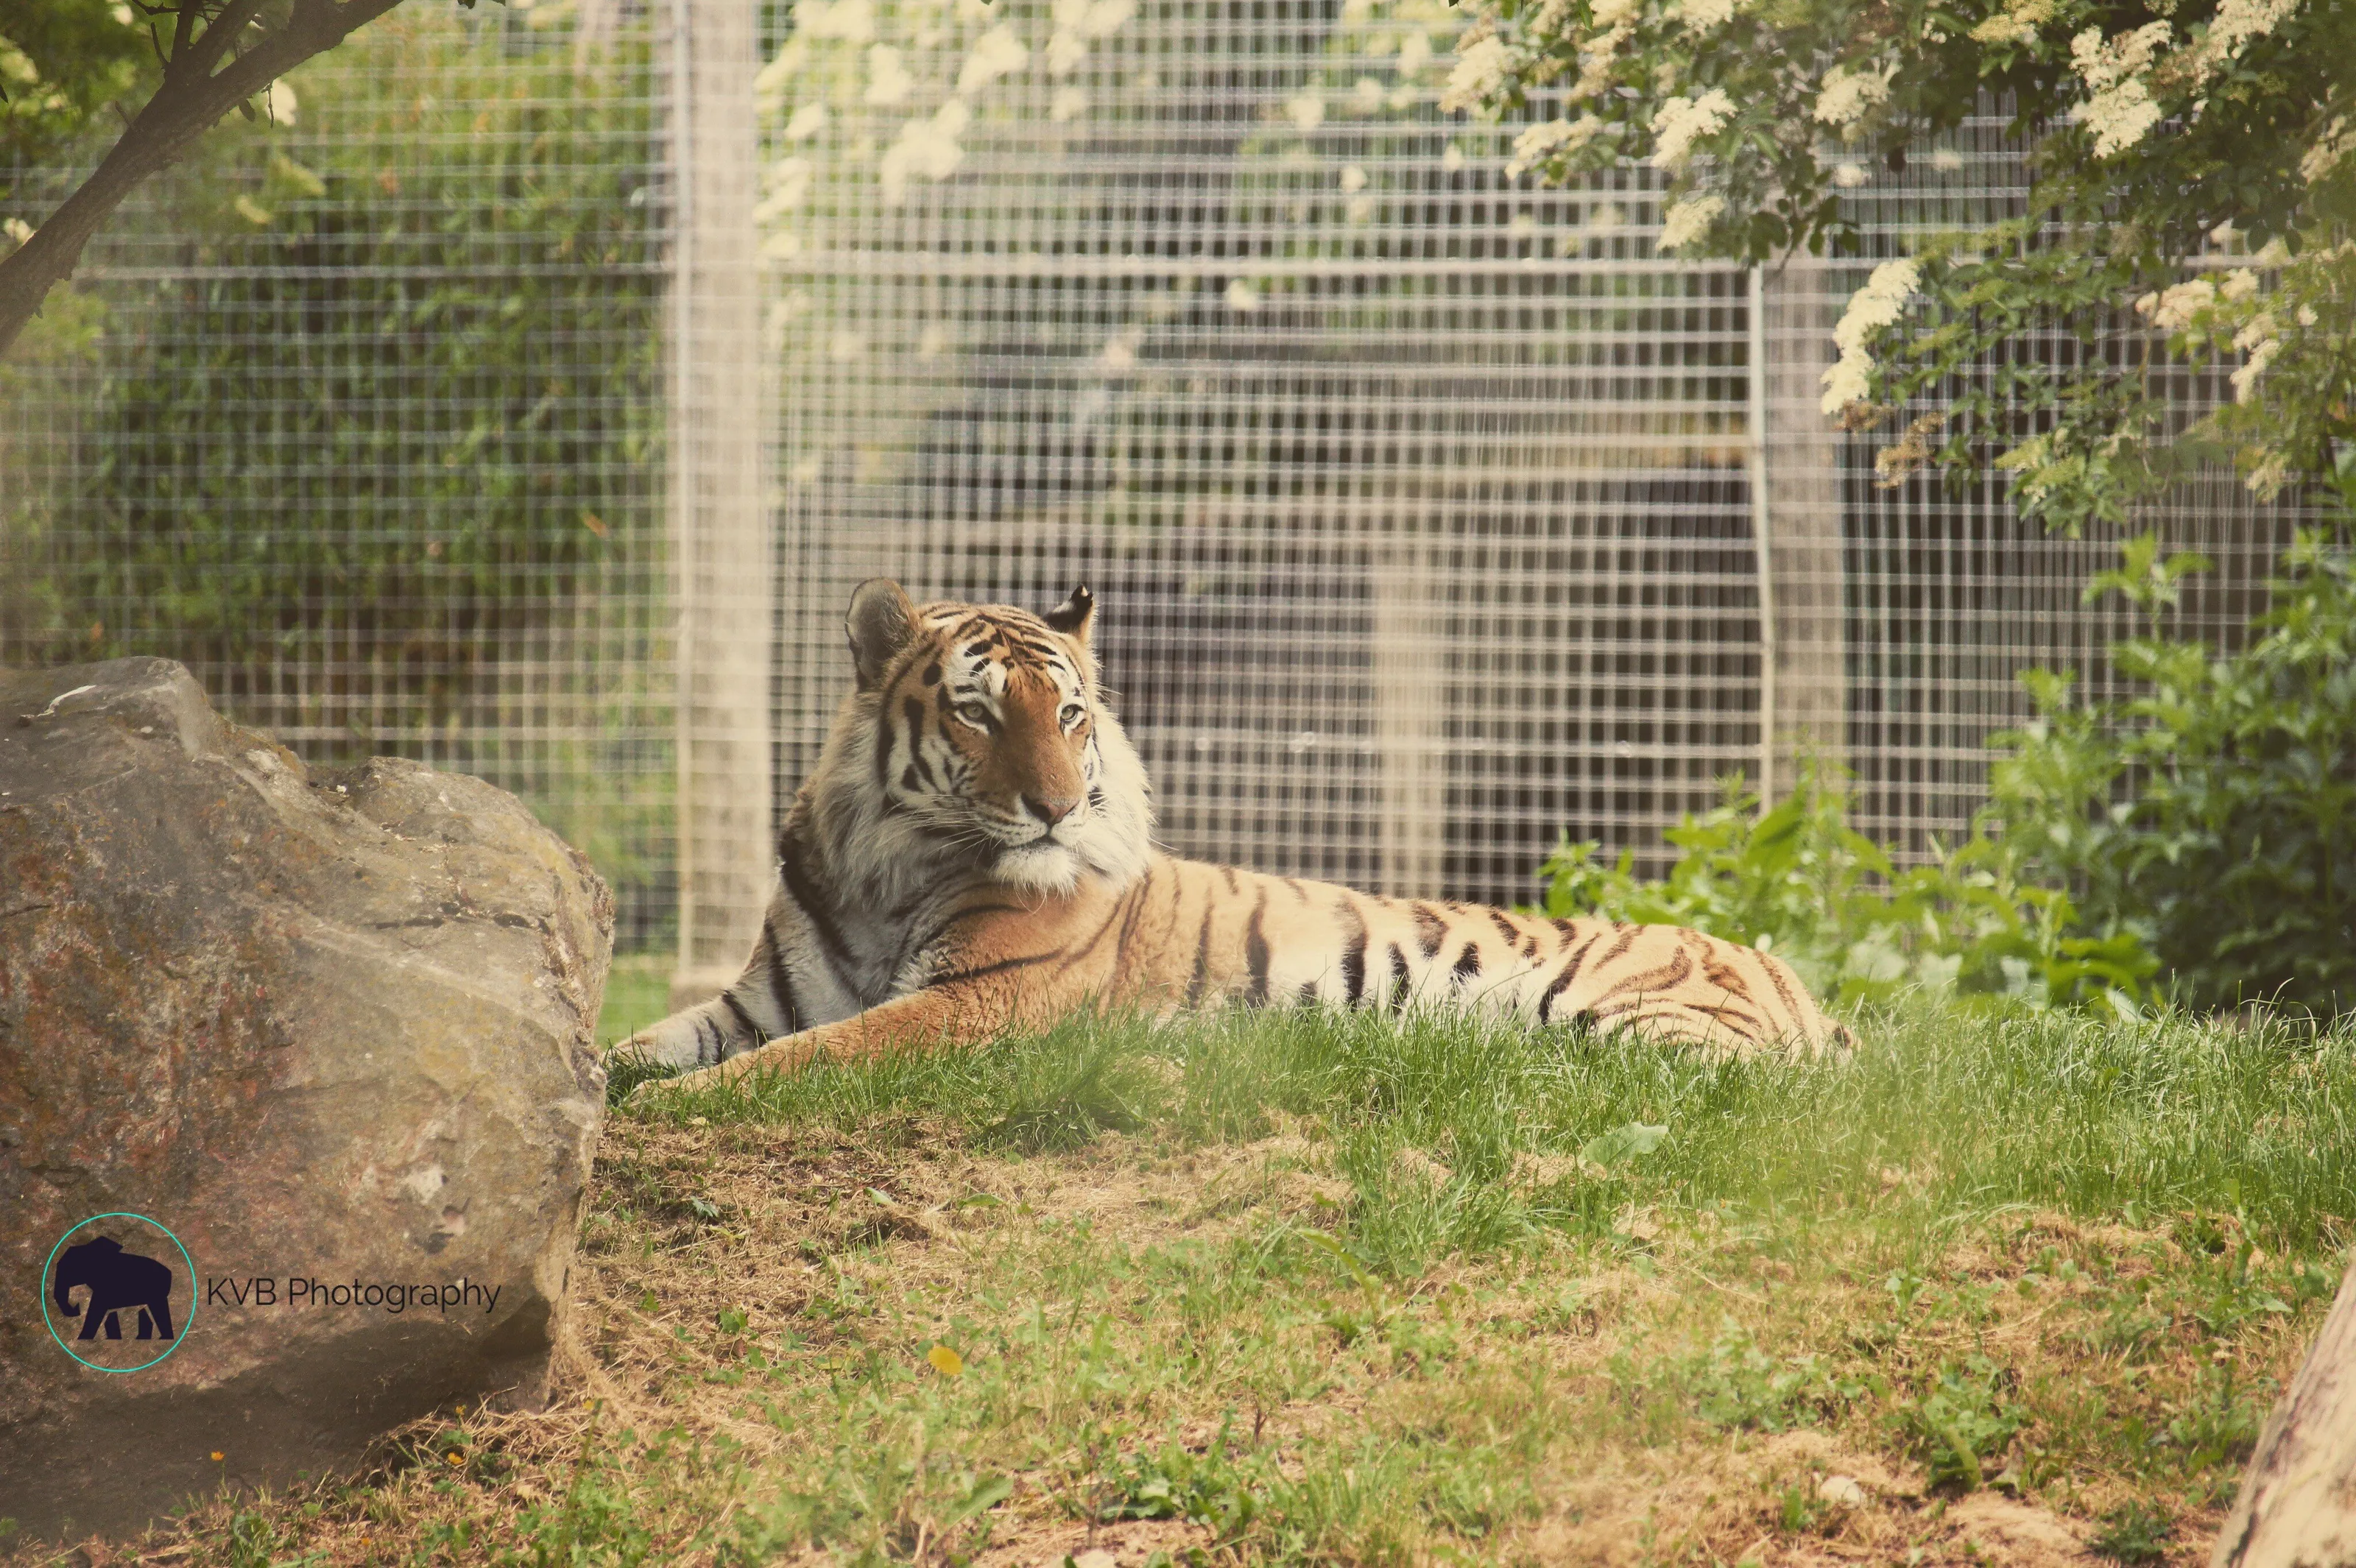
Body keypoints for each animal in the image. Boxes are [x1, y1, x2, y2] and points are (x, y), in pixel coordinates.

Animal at [622, 578, 1854, 1092]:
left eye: (1070, 715)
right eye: (979, 712)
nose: (1059, 807)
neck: (887, 869)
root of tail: (1789, 972)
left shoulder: (976, 1001)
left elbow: (814, 1056)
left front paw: (685, 1107)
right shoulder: (755, 998)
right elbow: (644, 1043)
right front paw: (616, 1085)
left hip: (1635, 1018)